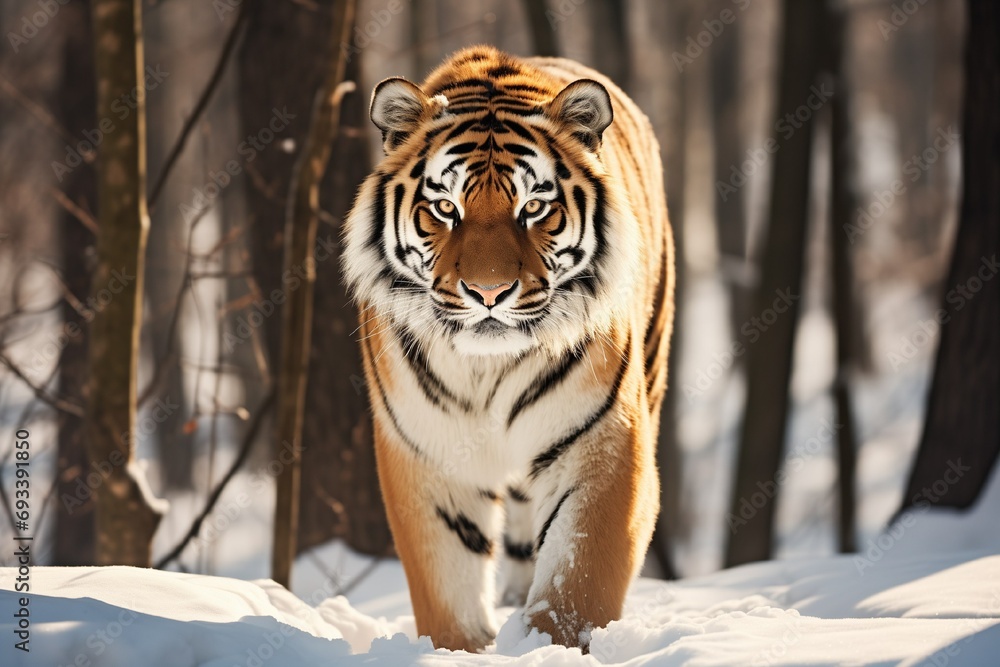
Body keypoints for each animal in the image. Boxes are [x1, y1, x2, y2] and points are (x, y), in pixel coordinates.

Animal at [342, 45, 674, 652]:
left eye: (534, 208)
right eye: (445, 208)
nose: (489, 293)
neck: (487, 370)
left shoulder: (603, 443)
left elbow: (577, 580)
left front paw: (547, 646)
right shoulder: (428, 452)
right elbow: (446, 586)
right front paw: (462, 651)